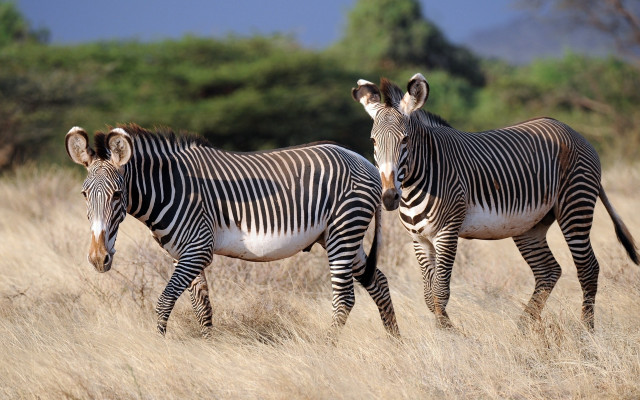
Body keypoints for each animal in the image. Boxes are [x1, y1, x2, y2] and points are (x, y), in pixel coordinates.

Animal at [65, 123, 399, 338]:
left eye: (117, 195)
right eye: (83, 194)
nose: (98, 259)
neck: (171, 188)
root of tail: (365, 162)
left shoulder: (198, 248)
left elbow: (165, 300)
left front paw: (158, 347)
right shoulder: (184, 254)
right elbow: (202, 307)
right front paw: (208, 350)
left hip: (345, 228)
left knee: (344, 298)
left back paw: (327, 349)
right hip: (338, 236)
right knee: (379, 282)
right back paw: (395, 343)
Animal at [352, 73, 638, 331]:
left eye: (405, 140)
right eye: (373, 141)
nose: (389, 197)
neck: (417, 180)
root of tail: (573, 131)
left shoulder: (447, 232)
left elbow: (440, 292)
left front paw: (449, 338)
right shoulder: (419, 239)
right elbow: (428, 296)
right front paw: (443, 333)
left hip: (575, 206)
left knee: (588, 269)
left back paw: (586, 331)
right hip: (530, 226)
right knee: (548, 271)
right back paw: (521, 330)